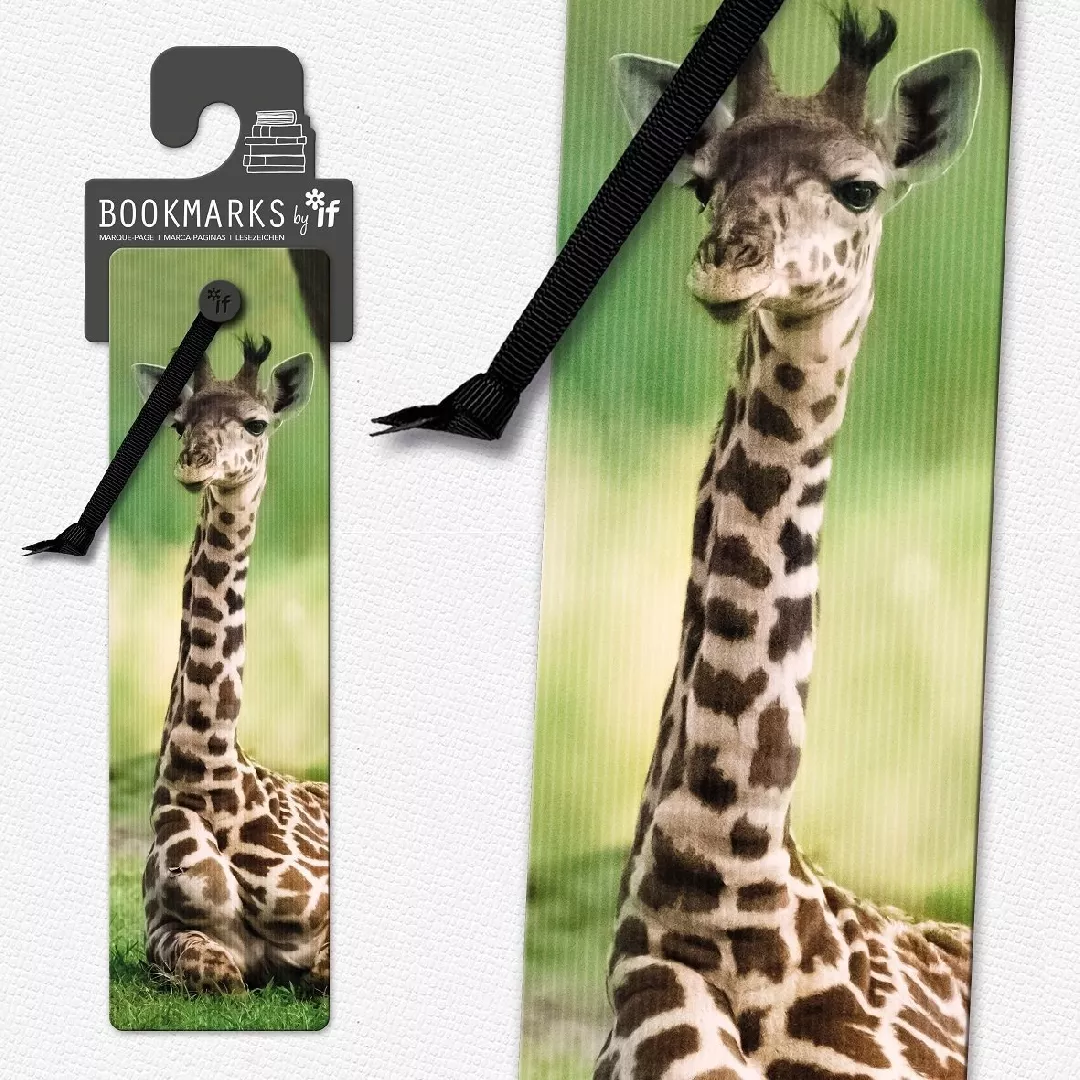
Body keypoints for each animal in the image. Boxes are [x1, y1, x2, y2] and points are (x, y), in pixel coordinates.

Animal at [132, 334, 329, 995]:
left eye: (256, 422)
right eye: (177, 423)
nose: (195, 464)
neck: (208, 775)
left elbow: (317, 968)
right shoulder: (163, 931)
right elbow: (219, 972)